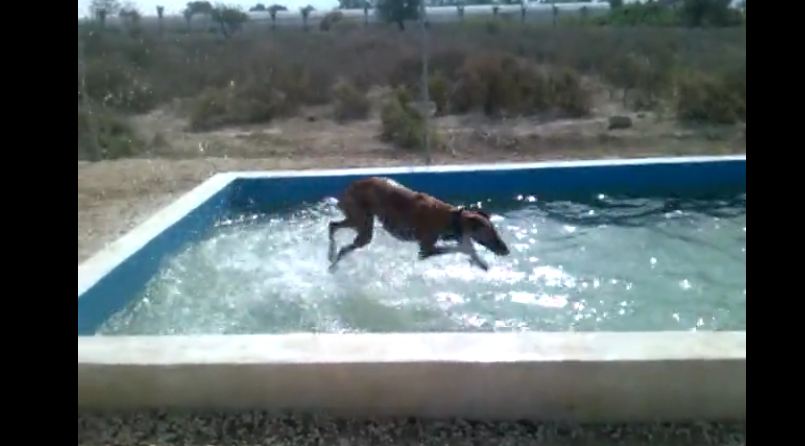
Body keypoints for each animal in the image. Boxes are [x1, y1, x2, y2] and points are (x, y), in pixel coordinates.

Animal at [326, 176, 508, 270]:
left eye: (496, 231)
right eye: (491, 233)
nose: (506, 250)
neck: (451, 216)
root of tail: (349, 187)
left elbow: (467, 247)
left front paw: (479, 262)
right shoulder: (425, 251)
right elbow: (462, 248)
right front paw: (473, 256)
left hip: (360, 223)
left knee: (333, 227)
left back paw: (331, 256)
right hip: (362, 225)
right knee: (340, 240)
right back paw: (333, 260)